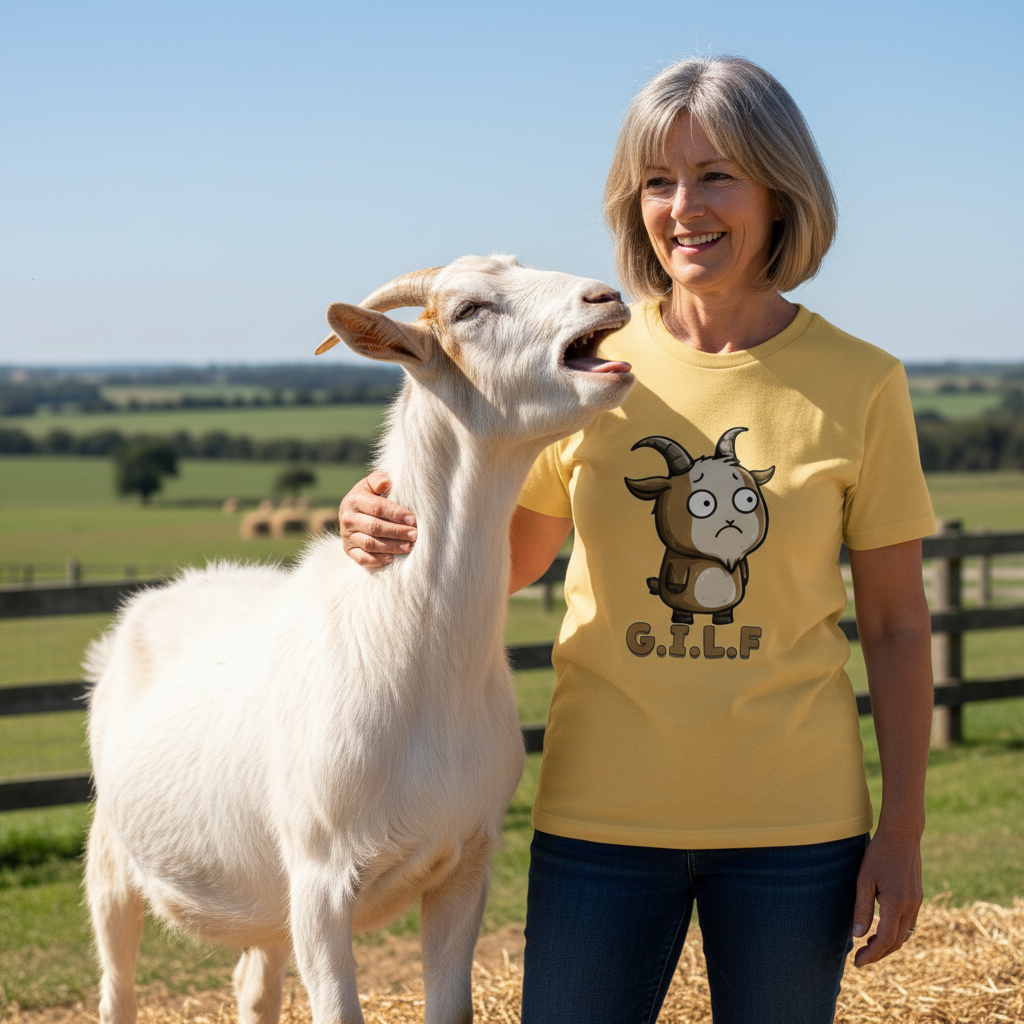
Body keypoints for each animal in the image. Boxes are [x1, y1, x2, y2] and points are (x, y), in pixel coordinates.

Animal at [85, 254, 633, 1024]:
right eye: (468, 310)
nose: (606, 295)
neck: (414, 658)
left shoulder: (466, 862)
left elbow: (451, 1007)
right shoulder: (320, 882)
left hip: (267, 897)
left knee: (255, 985)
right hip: (110, 862)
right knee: (118, 988)